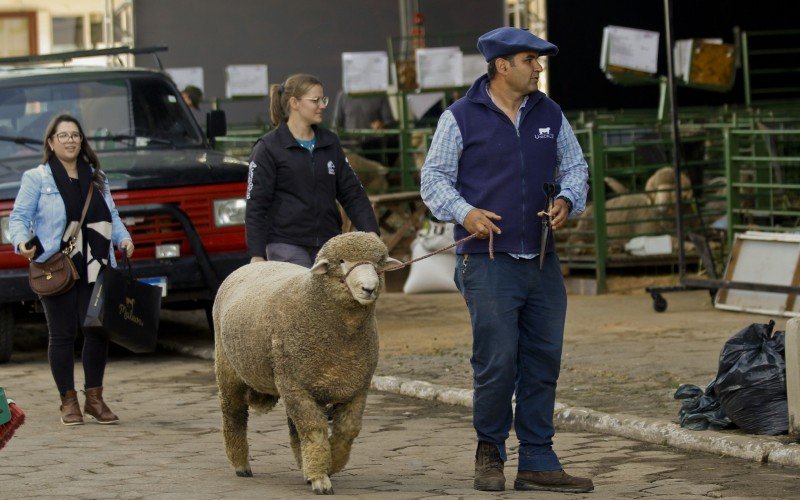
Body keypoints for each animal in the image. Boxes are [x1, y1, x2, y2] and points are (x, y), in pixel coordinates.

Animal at [212, 232, 400, 494]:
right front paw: (321, 478)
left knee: (293, 428)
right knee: (234, 414)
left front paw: (332, 462)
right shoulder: (295, 385)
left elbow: (348, 429)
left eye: (379, 263)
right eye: (341, 261)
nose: (369, 288)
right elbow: (314, 429)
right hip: (230, 369)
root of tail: (252, 265)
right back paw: (241, 465)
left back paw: (304, 464)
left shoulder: (357, 386)